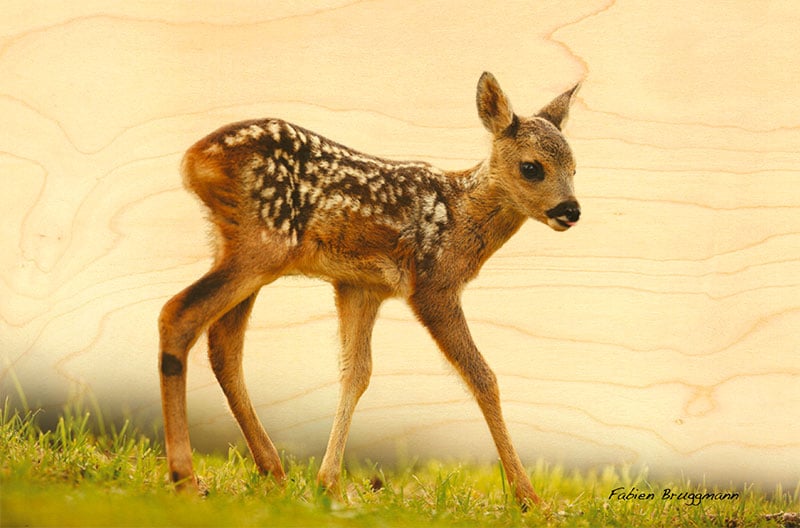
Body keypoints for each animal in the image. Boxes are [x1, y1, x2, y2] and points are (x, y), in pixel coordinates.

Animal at [158, 72, 581, 509]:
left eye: (575, 168)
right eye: (531, 167)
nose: (571, 210)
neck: (461, 219)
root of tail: (194, 160)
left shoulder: (360, 286)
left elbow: (356, 373)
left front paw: (329, 484)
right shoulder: (432, 285)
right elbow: (482, 377)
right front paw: (530, 499)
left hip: (240, 247)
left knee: (223, 346)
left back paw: (271, 471)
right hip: (263, 243)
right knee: (179, 313)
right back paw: (185, 478)